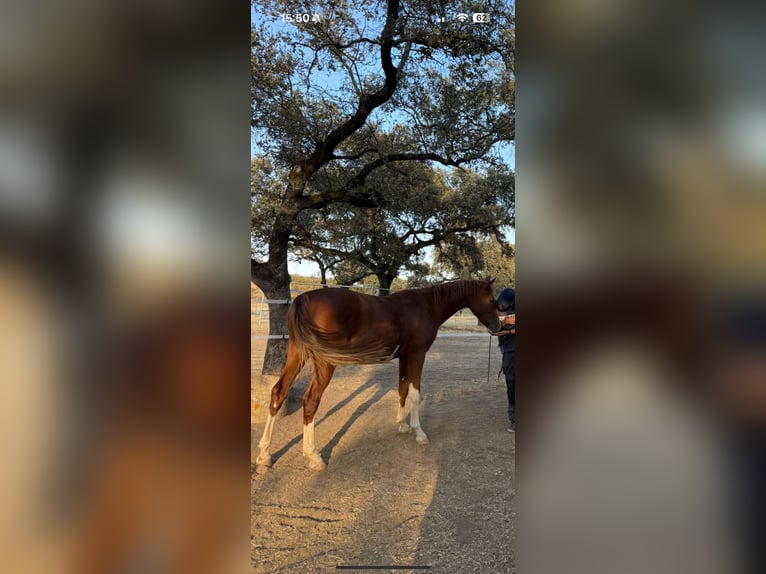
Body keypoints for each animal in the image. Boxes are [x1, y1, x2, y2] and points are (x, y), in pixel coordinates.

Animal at [255, 278, 502, 471]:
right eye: (492, 301)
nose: (498, 327)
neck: (425, 305)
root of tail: (303, 299)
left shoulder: (404, 357)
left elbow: (402, 389)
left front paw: (401, 424)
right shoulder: (417, 355)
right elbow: (415, 394)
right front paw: (419, 432)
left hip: (297, 355)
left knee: (278, 393)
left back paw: (264, 455)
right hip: (325, 363)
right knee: (310, 401)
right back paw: (313, 457)